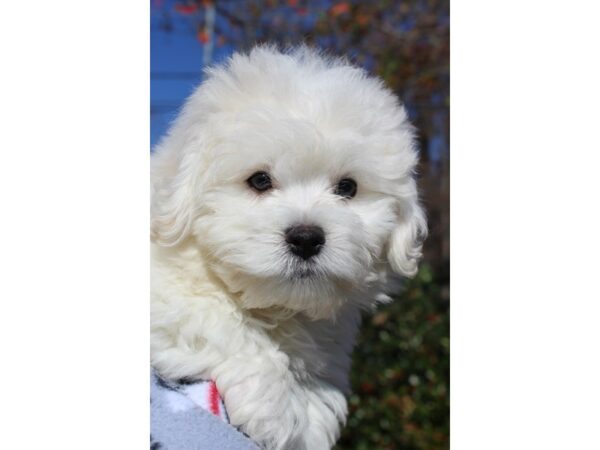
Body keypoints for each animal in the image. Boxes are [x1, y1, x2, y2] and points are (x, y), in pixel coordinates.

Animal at [152, 45, 428, 450]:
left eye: (347, 187)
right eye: (259, 180)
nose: (306, 238)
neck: (278, 309)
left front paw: (311, 412)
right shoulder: (169, 301)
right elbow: (224, 325)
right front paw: (276, 409)